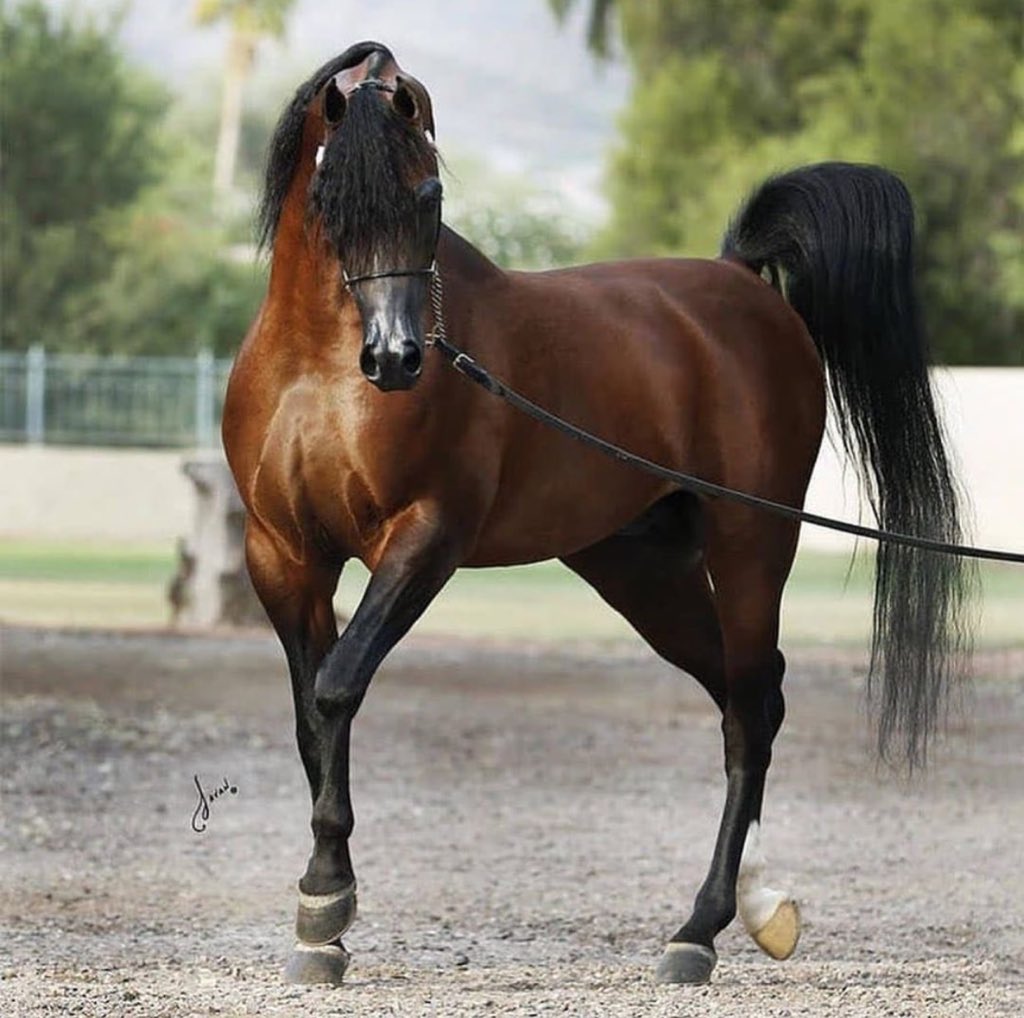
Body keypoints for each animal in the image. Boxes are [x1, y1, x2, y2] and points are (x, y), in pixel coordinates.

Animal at [222, 41, 966, 983]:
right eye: (329, 194)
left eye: (429, 195)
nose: (396, 360)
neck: (317, 367)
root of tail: (740, 281)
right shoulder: (283, 556)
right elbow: (309, 717)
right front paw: (323, 923)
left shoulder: (424, 538)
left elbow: (336, 687)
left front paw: (324, 899)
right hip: (641, 567)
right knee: (747, 697)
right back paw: (762, 908)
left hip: (753, 541)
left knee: (750, 710)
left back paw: (698, 931)